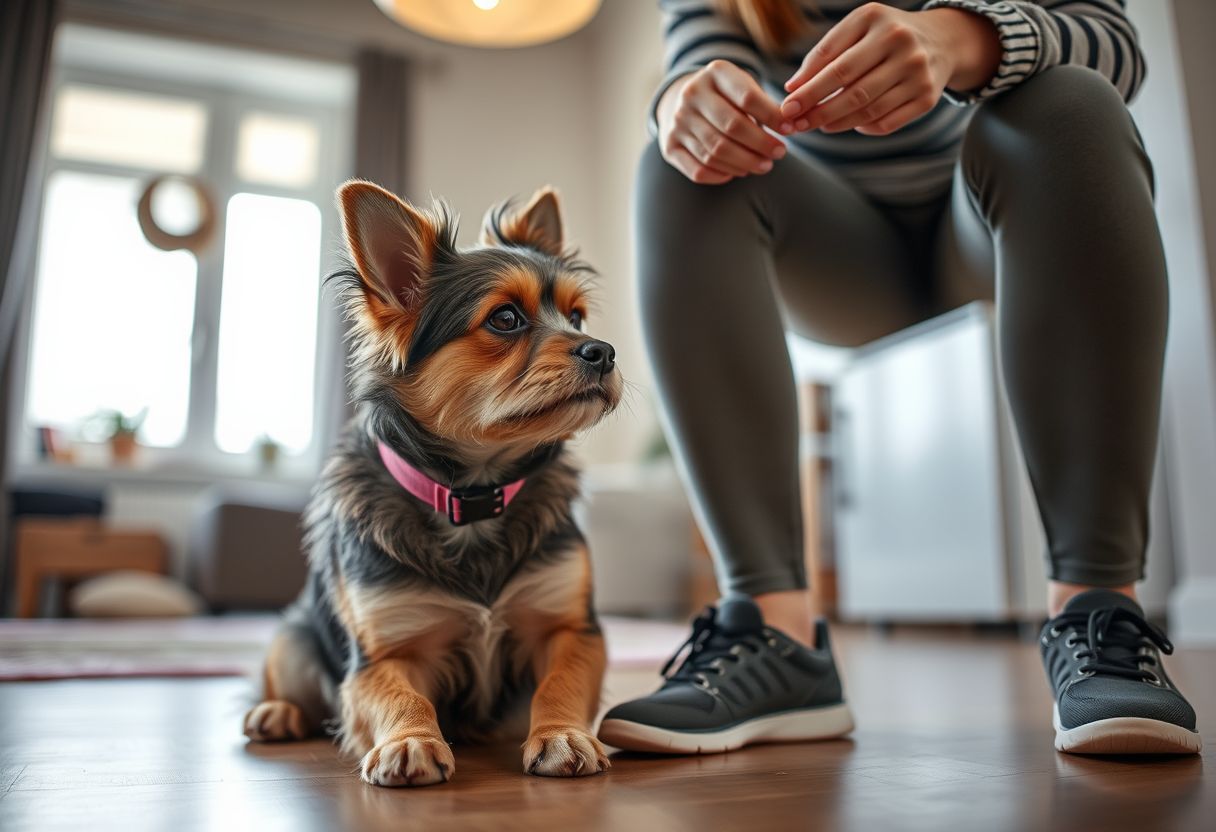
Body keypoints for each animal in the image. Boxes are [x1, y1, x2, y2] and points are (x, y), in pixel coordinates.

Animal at [241, 182, 622, 788]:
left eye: (578, 317)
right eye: (506, 319)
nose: (604, 350)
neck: (474, 498)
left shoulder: (571, 630)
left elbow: (559, 682)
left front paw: (562, 733)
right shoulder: (383, 653)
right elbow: (400, 696)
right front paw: (409, 741)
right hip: (292, 637)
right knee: (293, 686)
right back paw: (277, 712)